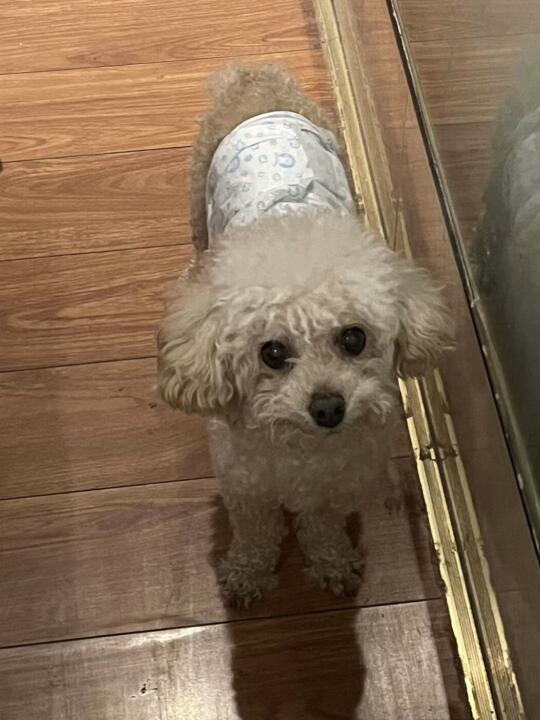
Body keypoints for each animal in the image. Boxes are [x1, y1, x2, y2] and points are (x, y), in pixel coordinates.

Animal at [157, 65, 451, 607]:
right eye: (272, 353)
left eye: (353, 338)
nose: (329, 407)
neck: (302, 450)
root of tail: (256, 79)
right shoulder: (247, 487)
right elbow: (254, 533)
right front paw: (247, 574)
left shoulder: (332, 489)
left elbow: (323, 527)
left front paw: (332, 564)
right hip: (196, 199)